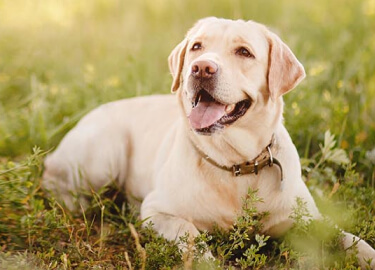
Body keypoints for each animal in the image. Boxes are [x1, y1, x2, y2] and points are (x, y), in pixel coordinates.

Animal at [42, 17, 374, 268]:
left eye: (244, 52)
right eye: (197, 46)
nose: (201, 68)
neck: (237, 164)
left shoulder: (308, 219)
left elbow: (350, 239)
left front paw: (365, 253)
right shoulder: (157, 210)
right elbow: (190, 233)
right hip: (104, 154)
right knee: (57, 184)